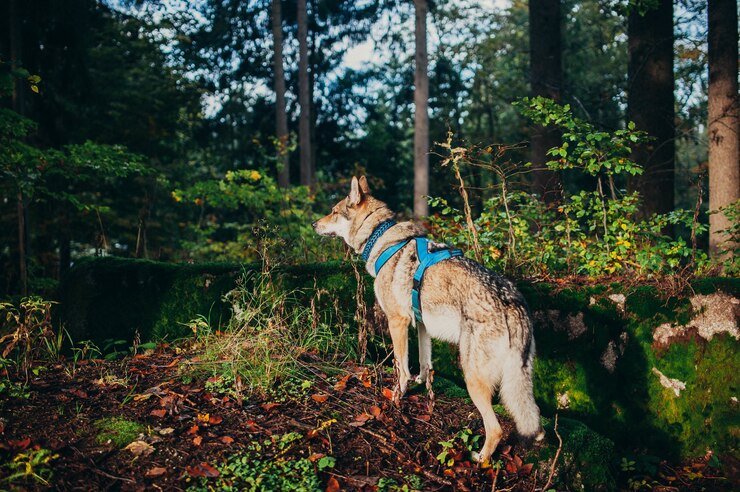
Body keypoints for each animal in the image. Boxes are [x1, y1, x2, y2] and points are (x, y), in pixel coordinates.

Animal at [312, 178, 544, 466]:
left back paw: (480, 458)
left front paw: (397, 396)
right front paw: (422, 381)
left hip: (473, 379)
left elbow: (401, 367)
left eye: (333, 211)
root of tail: (513, 303)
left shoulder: (397, 322)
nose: (314, 224)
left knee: (496, 429)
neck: (381, 237)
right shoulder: (421, 324)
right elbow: (424, 361)